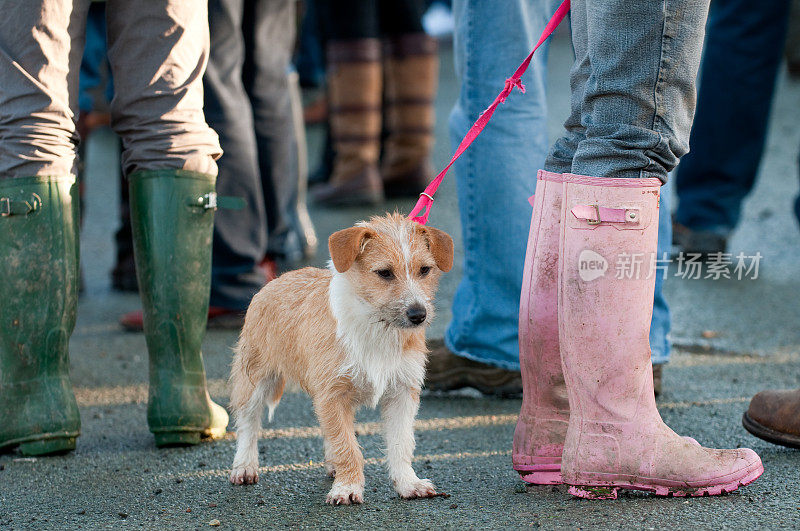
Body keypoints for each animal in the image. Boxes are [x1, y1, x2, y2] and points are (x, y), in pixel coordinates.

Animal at [231, 213, 454, 508]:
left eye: (425, 270)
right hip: (256, 378)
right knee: (248, 421)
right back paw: (244, 465)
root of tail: (276, 280)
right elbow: (347, 445)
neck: (375, 325)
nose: (418, 315)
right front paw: (348, 487)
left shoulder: (402, 393)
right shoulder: (333, 394)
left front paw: (408, 483)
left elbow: (400, 443)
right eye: (384, 273)